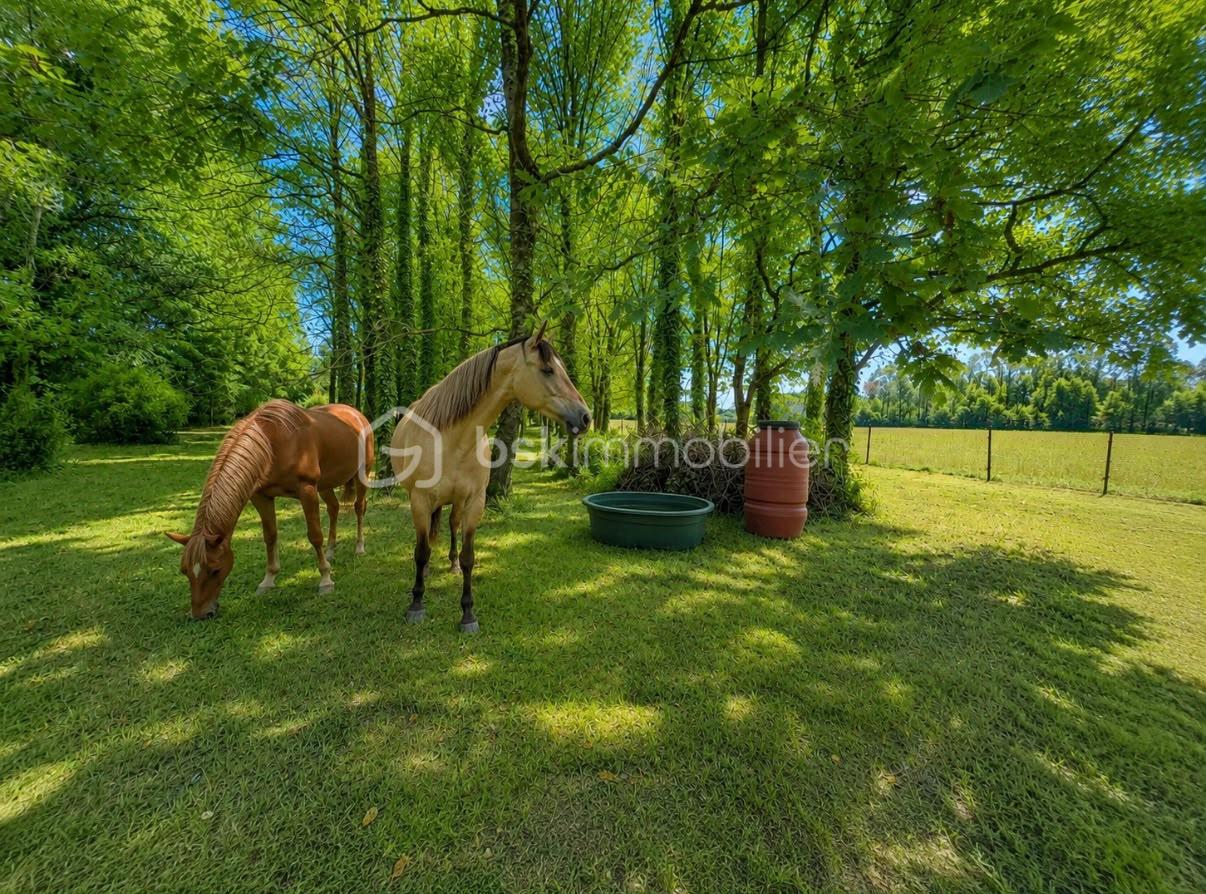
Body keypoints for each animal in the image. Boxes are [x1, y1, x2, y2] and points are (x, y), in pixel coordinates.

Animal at [165, 400, 373, 620]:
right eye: (184, 570)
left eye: (215, 569)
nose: (201, 614)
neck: (273, 443)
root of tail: (356, 414)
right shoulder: (261, 496)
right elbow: (270, 536)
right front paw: (268, 580)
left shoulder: (307, 491)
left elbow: (315, 535)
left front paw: (325, 579)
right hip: (325, 485)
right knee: (333, 509)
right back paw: (331, 551)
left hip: (362, 474)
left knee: (359, 508)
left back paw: (359, 547)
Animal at [389, 321, 590, 633]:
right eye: (548, 370)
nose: (586, 417)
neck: (452, 440)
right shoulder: (420, 500)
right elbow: (420, 552)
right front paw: (416, 605)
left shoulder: (475, 502)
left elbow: (469, 557)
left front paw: (467, 614)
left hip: (458, 502)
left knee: (451, 525)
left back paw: (451, 564)